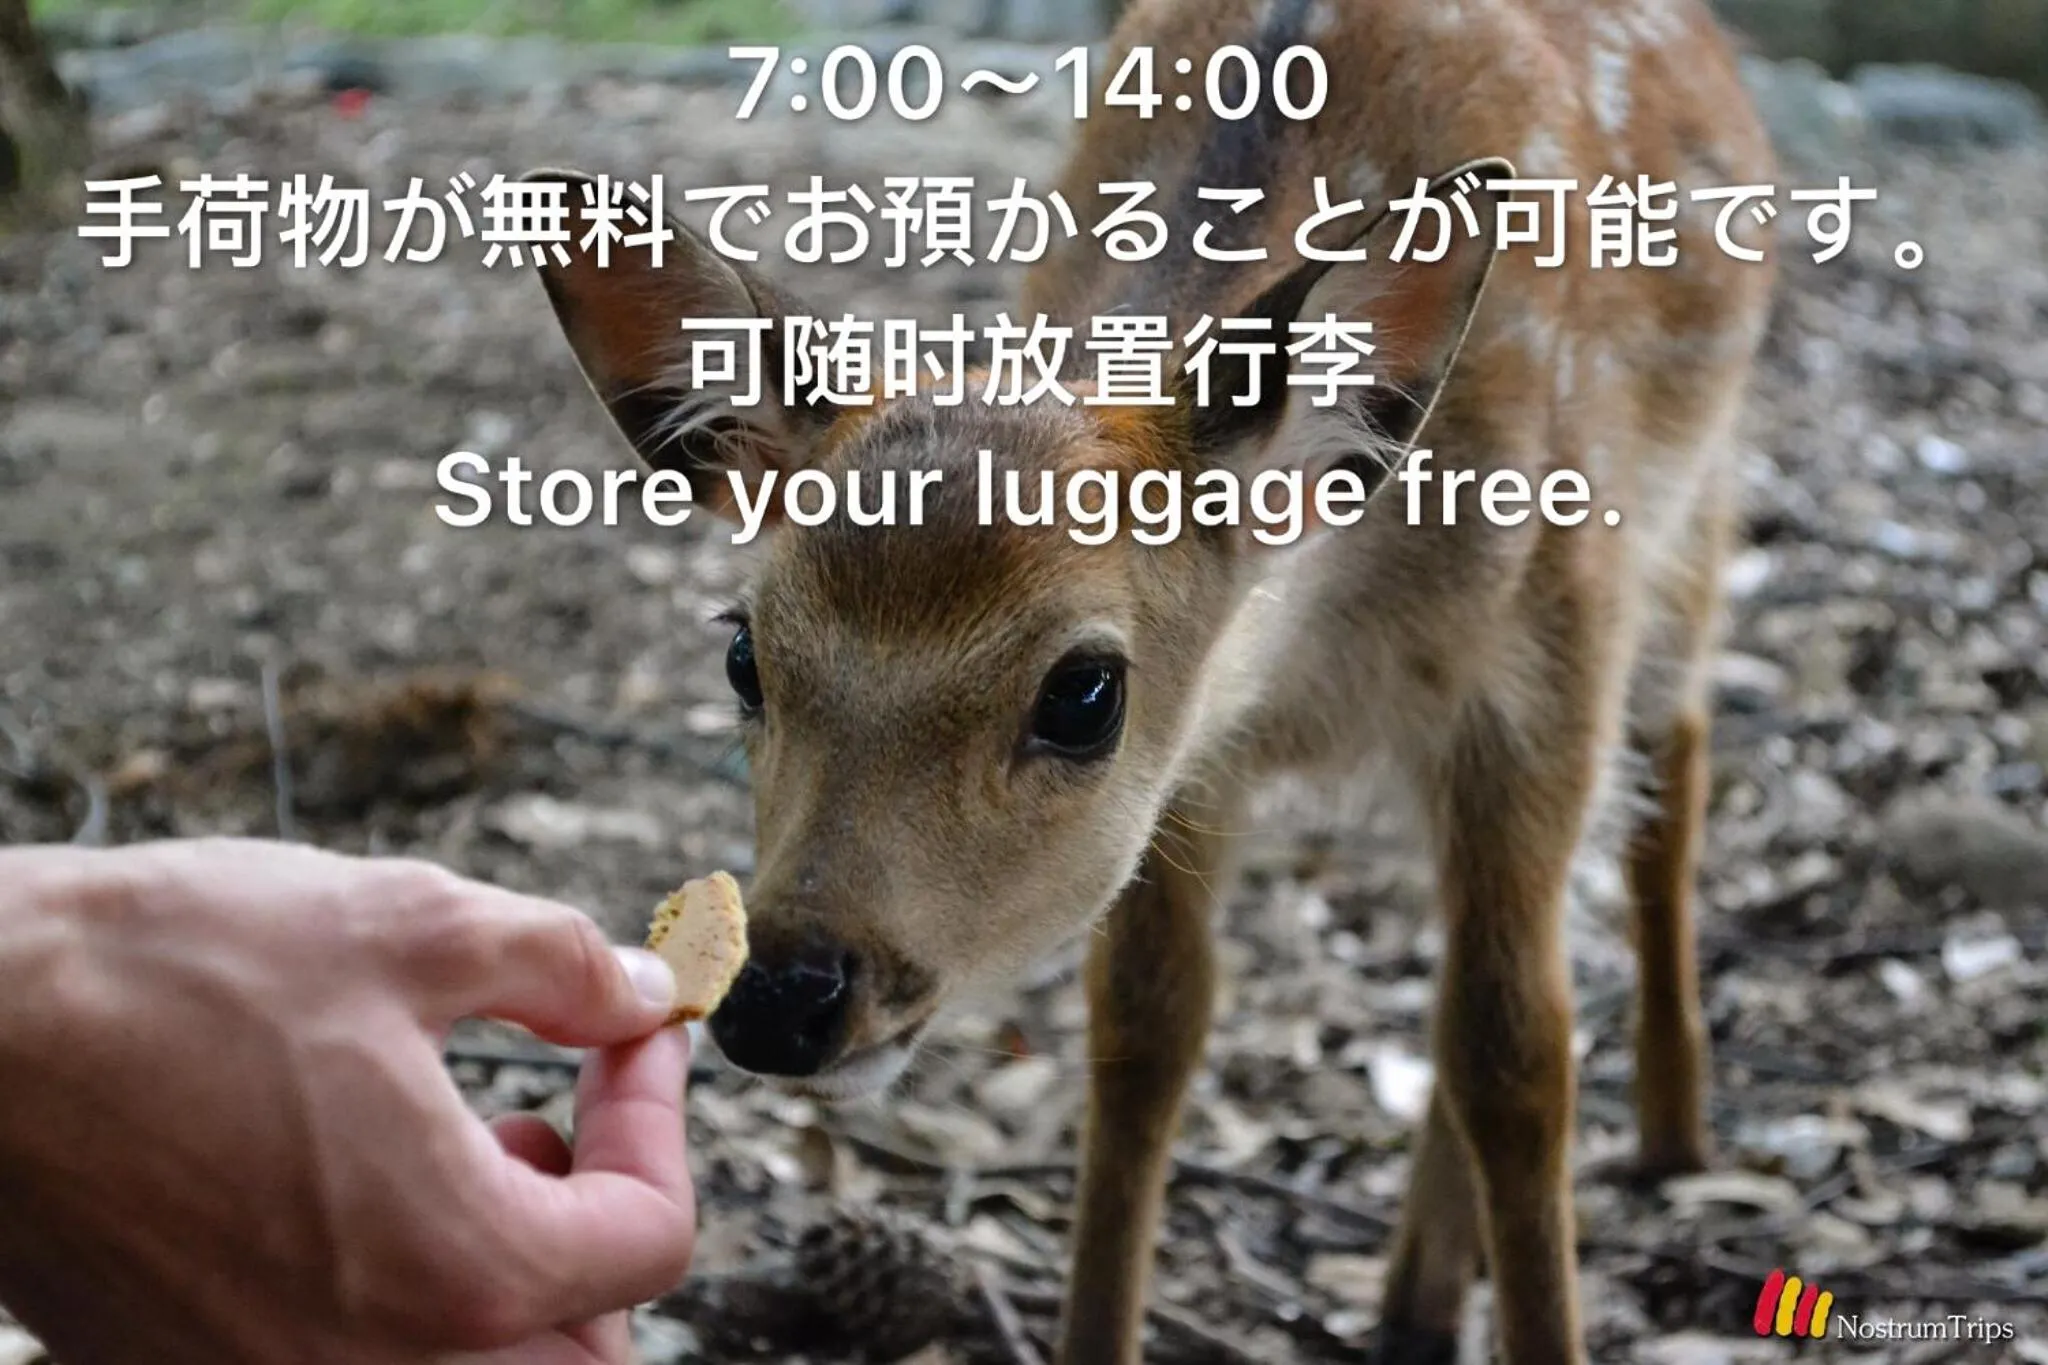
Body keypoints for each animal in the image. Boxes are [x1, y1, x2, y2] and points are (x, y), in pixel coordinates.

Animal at [525, 0, 1777, 1359]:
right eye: (743, 652)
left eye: (1083, 692)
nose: (779, 998)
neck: (1332, 647)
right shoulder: (1195, 764)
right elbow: (1144, 1026)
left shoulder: (1542, 665)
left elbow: (1516, 1057)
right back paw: (1416, 1299)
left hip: (1687, 517)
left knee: (1670, 768)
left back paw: (1671, 1133)